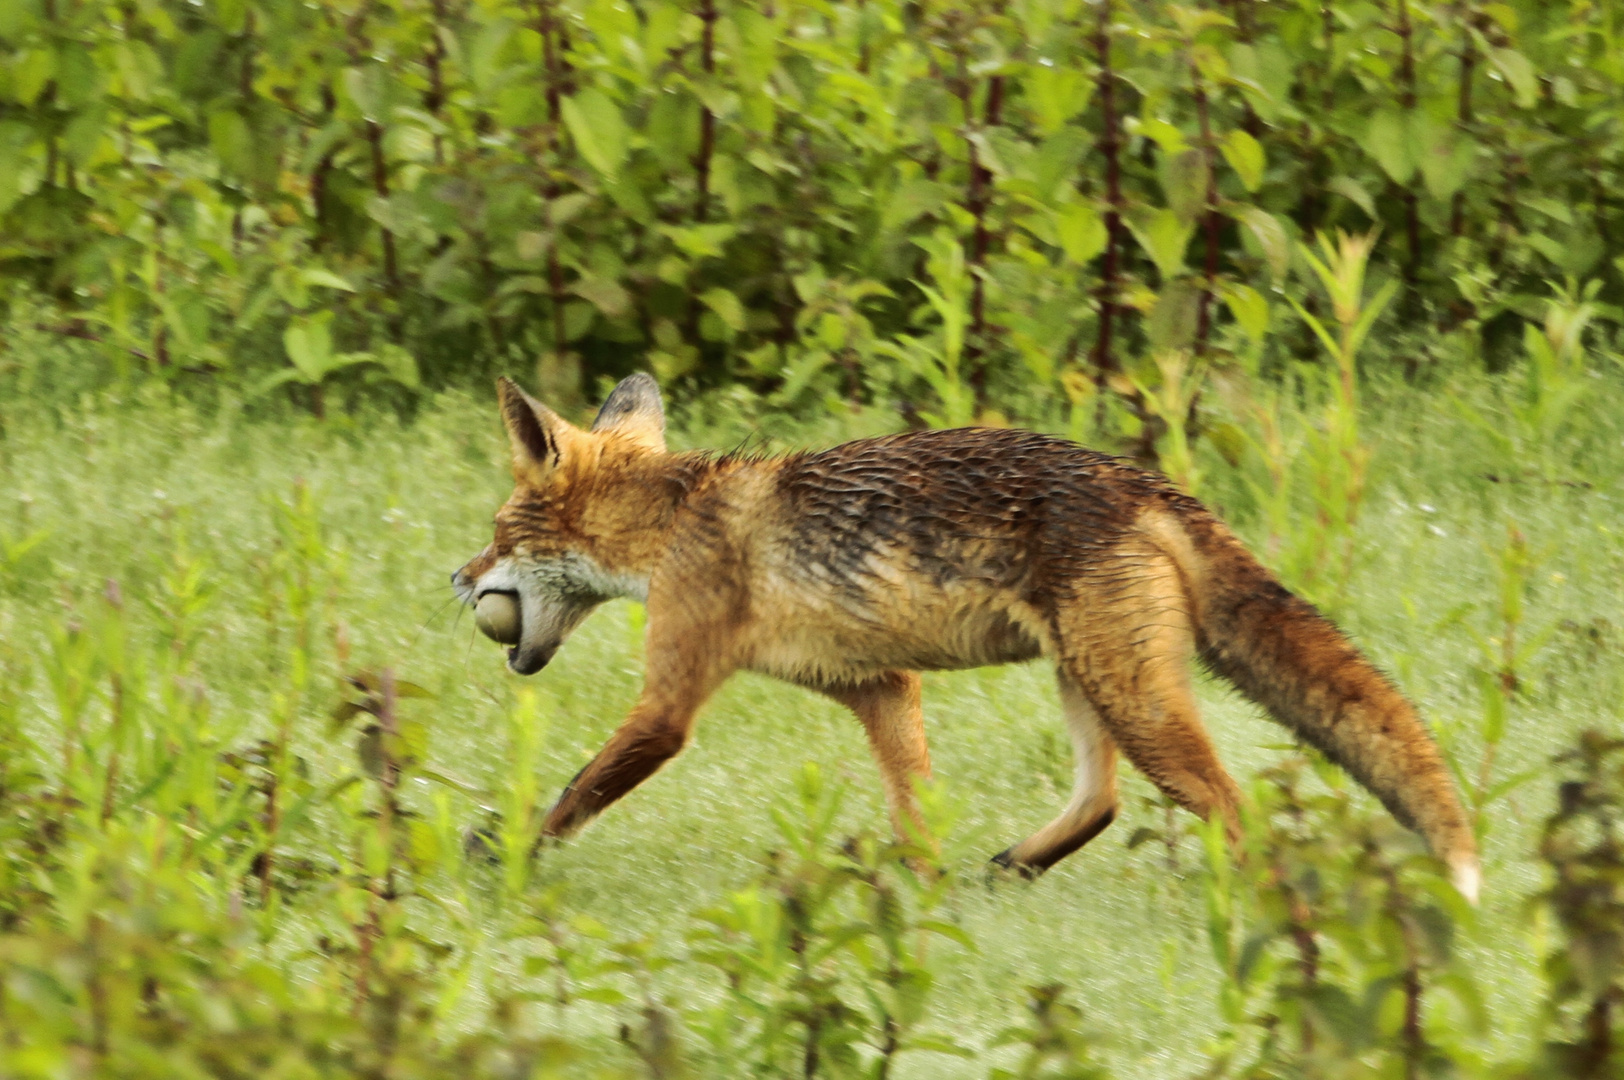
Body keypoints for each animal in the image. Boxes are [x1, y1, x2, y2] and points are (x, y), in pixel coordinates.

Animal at [451, 375, 1481, 896]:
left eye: (498, 534)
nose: (456, 580)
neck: (673, 524)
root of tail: (1142, 483)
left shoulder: (670, 702)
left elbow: (577, 792)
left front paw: (507, 857)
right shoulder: (876, 685)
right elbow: (915, 804)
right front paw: (919, 890)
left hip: (1137, 703)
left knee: (1234, 814)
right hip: (1088, 680)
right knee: (1102, 801)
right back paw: (1015, 865)